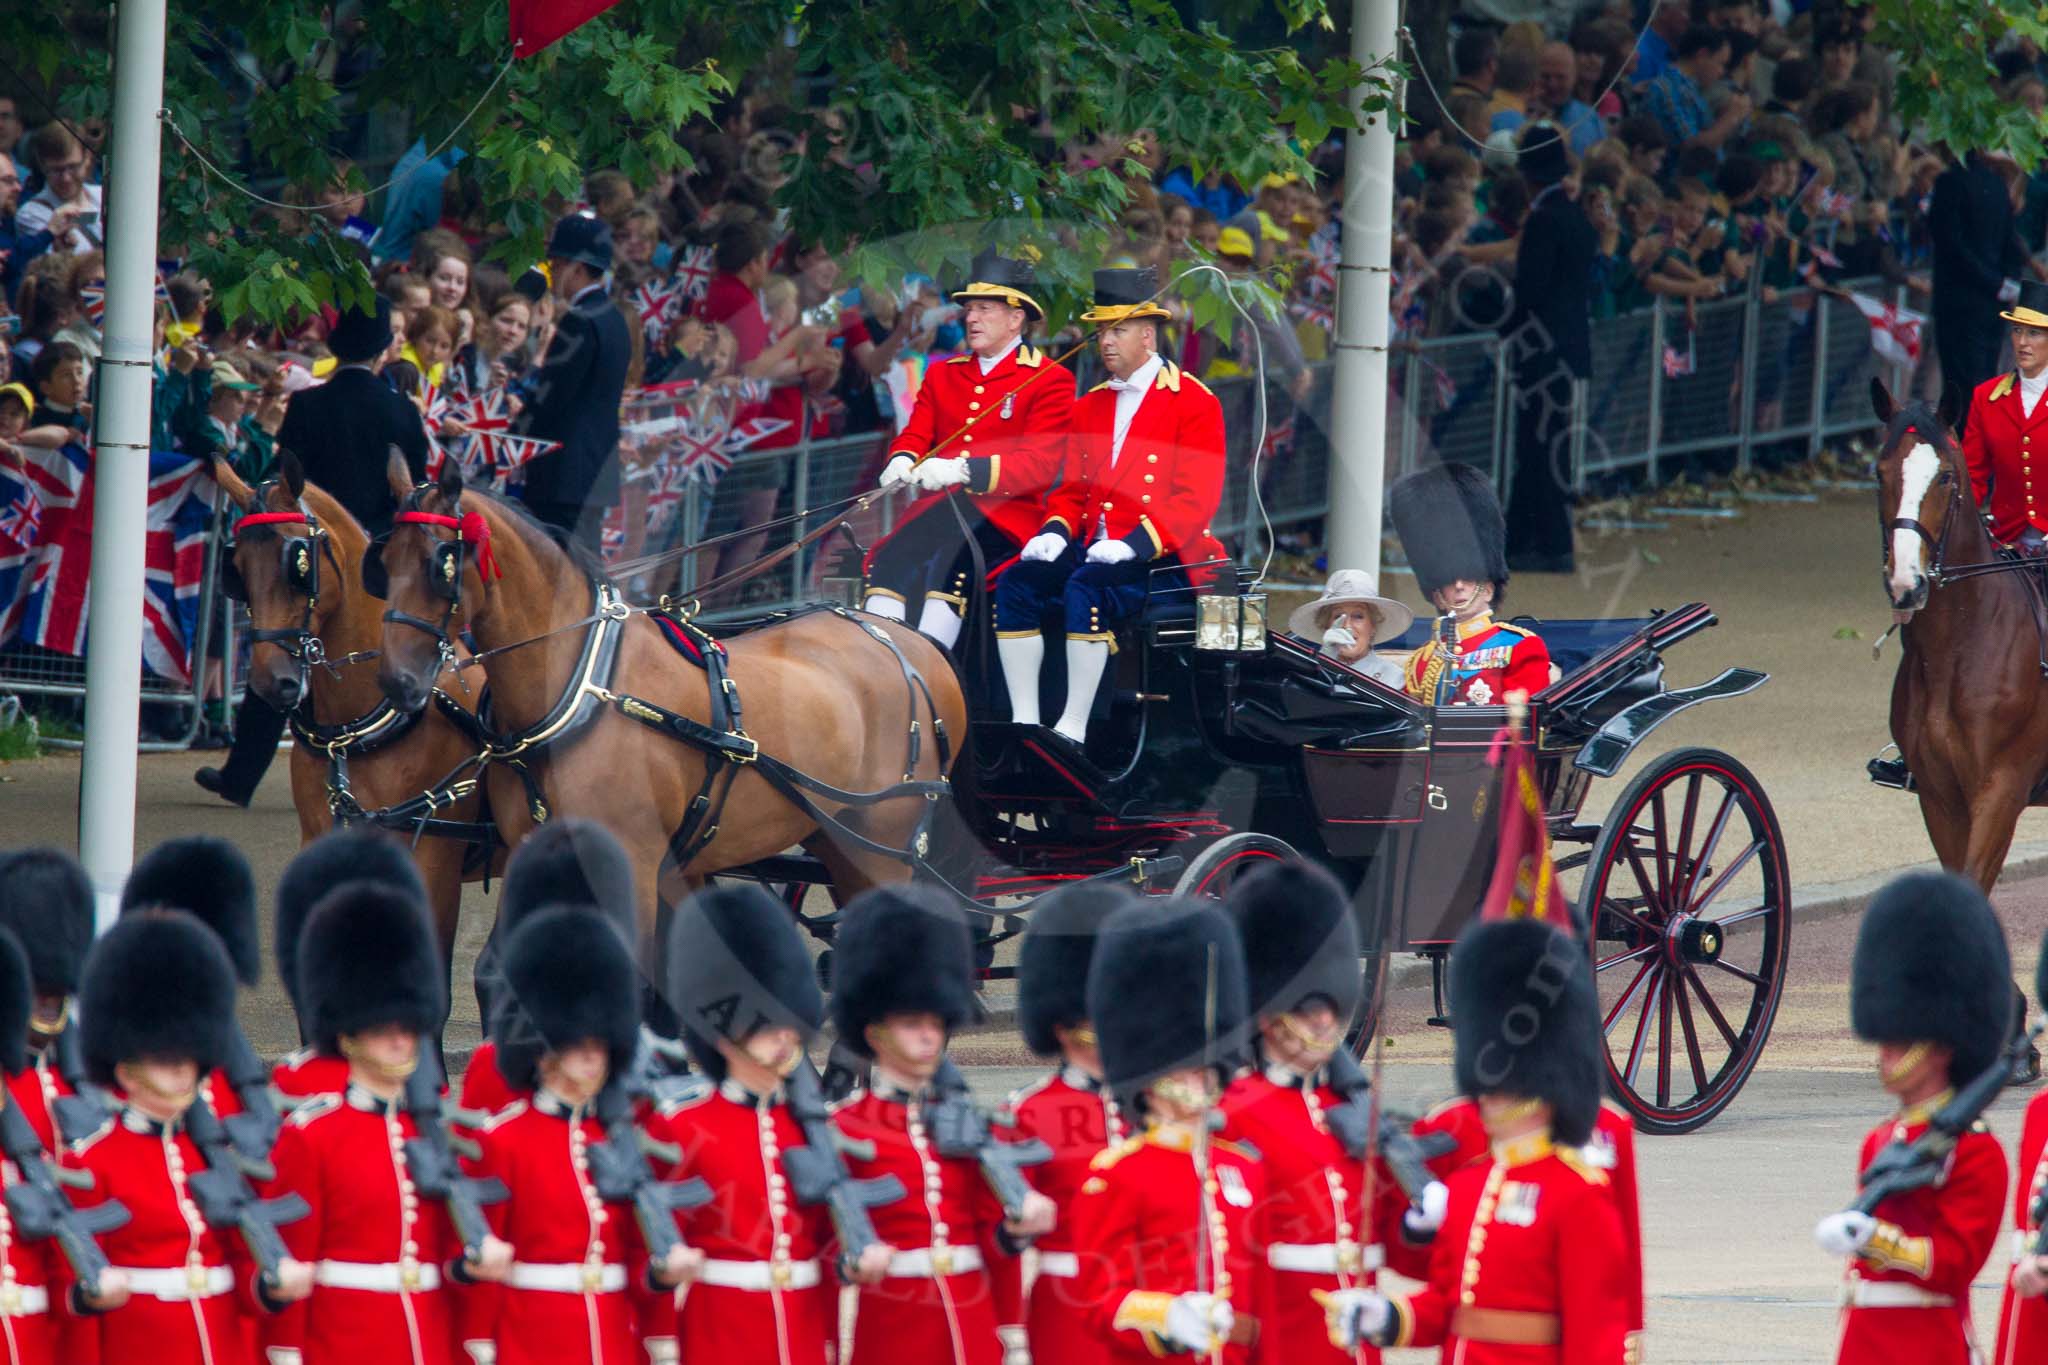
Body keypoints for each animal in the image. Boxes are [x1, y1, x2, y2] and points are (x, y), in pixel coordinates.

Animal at [215, 454, 499, 986]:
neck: (355, 732)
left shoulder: (433, 862)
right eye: (236, 567)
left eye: (298, 564)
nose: (270, 682)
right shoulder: (325, 843)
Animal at [368, 464, 966, 965]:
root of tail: (905, 641)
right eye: (384, 562)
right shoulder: (538, 853)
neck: (581, 691)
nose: (397, 682)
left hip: (882, 845)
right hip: (833, 836)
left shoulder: (631, 863)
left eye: (441, 566)